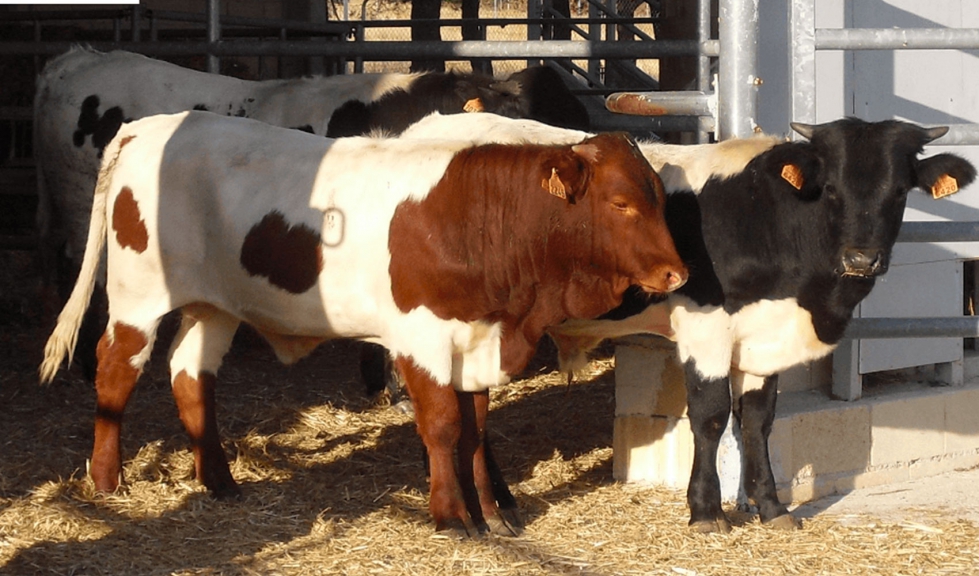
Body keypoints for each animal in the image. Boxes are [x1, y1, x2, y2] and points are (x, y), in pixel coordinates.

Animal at [38, 111, 680, 536]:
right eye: (621, 203)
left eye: (657, 198)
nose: (677, 272)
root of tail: (153, 124)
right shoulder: (420, 337)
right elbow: (443, 426)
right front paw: (451, 515)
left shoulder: (477, 340)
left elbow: (475, 430)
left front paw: (494, 516)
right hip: (138, 298)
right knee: (116, 371)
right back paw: (106, 479)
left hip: (213, 307)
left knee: (190, 375)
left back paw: (218, 480)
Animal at [394, 111, 976, 532]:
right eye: (831, 188)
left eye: (899, 192)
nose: (861, 258)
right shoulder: (706, 326)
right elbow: (712, 416)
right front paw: (706, 511)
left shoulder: (764, 335)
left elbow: (758, 419)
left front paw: (770, 506)